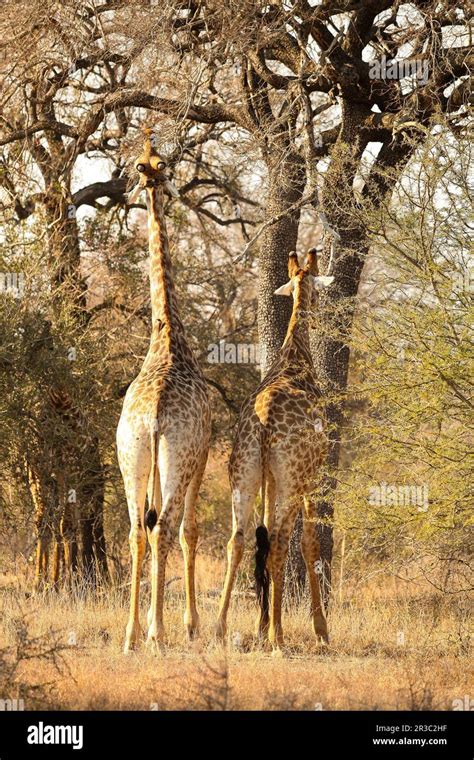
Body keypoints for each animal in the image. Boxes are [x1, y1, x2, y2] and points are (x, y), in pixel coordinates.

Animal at [217, 251, 336, 652]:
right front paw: (321, 630)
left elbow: (261, 538)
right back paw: (279, 638)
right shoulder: (312, 477)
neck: (296, 357)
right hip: (288, 478)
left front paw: (260, 623)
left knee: (238, 540)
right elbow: (310, 544)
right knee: (283, 543)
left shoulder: (269, 478)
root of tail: (265, 422)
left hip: (244, 472)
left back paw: (219, 628)